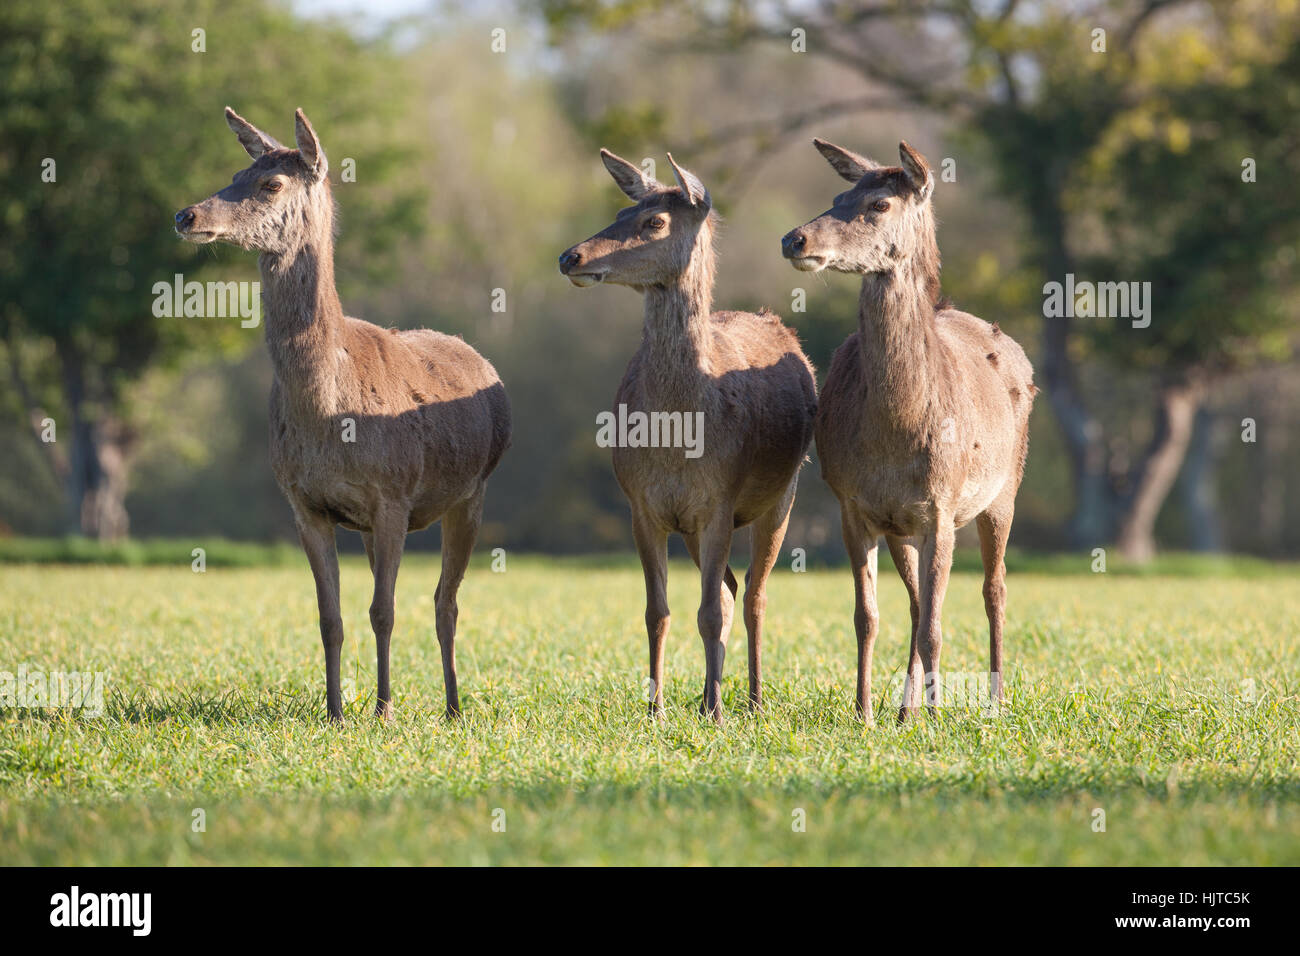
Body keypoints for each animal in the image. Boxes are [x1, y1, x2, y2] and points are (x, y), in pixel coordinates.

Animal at [175, 108, 511, 722]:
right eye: (235, 172)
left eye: (271, 183)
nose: (187, 214)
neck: (328, 408)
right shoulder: (304, 503)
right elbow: (329, 616)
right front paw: (333, 710)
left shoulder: (394, 494)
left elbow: (384, 610)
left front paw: (383, 710)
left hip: (472, 491)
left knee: (445, 602)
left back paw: (453, 706)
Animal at [559, 149, 817, 723]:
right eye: (620, 210)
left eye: (655, 221)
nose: (570, 256)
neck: (678, 437)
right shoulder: (642, 505)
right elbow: (658, 611)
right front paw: (655, 707)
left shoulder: (720, 500)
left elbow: (709, 612)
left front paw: (718, 711)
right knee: (728, 588)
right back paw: (704, 697)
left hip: (783, 495)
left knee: (754, 595)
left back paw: (752, 699)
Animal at [781, 139, 1034, 725]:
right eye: (837, 197)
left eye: (879, 204)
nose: (795, 238)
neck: (895, 432)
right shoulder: (854, 504)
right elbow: (868, 617)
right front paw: (865, 713)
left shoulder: (942, 504)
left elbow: (938, 625)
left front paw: (937, 720)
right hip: (903, 528)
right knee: (919, 604)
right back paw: (905, 708)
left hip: (1005, 489)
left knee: (994, 589)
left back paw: (994, 701)